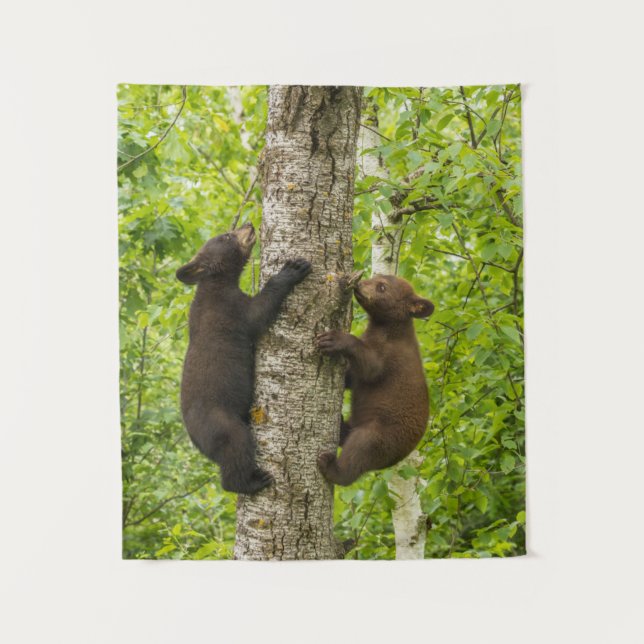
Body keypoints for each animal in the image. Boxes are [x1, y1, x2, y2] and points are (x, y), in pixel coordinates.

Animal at [177, 222, 312, 494]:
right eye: (227, 236)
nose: (248, 224)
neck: (215, 284)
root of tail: (197, 442)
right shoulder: (230, 309)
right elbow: (258, 313)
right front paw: (292, 269)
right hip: (222, 423)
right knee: (236, 448)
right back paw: (253, 482)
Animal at [315, 274, 434, 486]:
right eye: (375, 277)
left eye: (382, 287)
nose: (359, 285)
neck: (388, 329)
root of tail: (394, 461)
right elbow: (353, 376)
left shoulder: (392, 356)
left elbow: (370, 367)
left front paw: (334, 339)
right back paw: (342, 426)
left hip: (384, 435)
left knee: (361, 448)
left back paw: (332, 467)